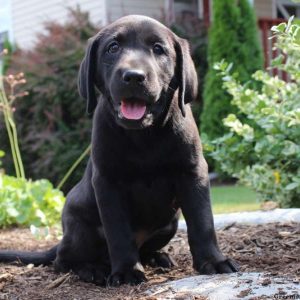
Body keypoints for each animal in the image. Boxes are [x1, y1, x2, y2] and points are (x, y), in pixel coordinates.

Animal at [0, 14, 239, 286]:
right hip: (80, 227)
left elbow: (202, 221)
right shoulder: (108, 183)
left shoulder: (193, 173)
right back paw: (92, 269)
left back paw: (157, 257)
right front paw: (126, 272)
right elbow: (119, 233)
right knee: (63, 261)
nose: (133, 76)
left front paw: (213, 261)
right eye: (112, 48)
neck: (144, 135)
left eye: (158, 49)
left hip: (169, 224)